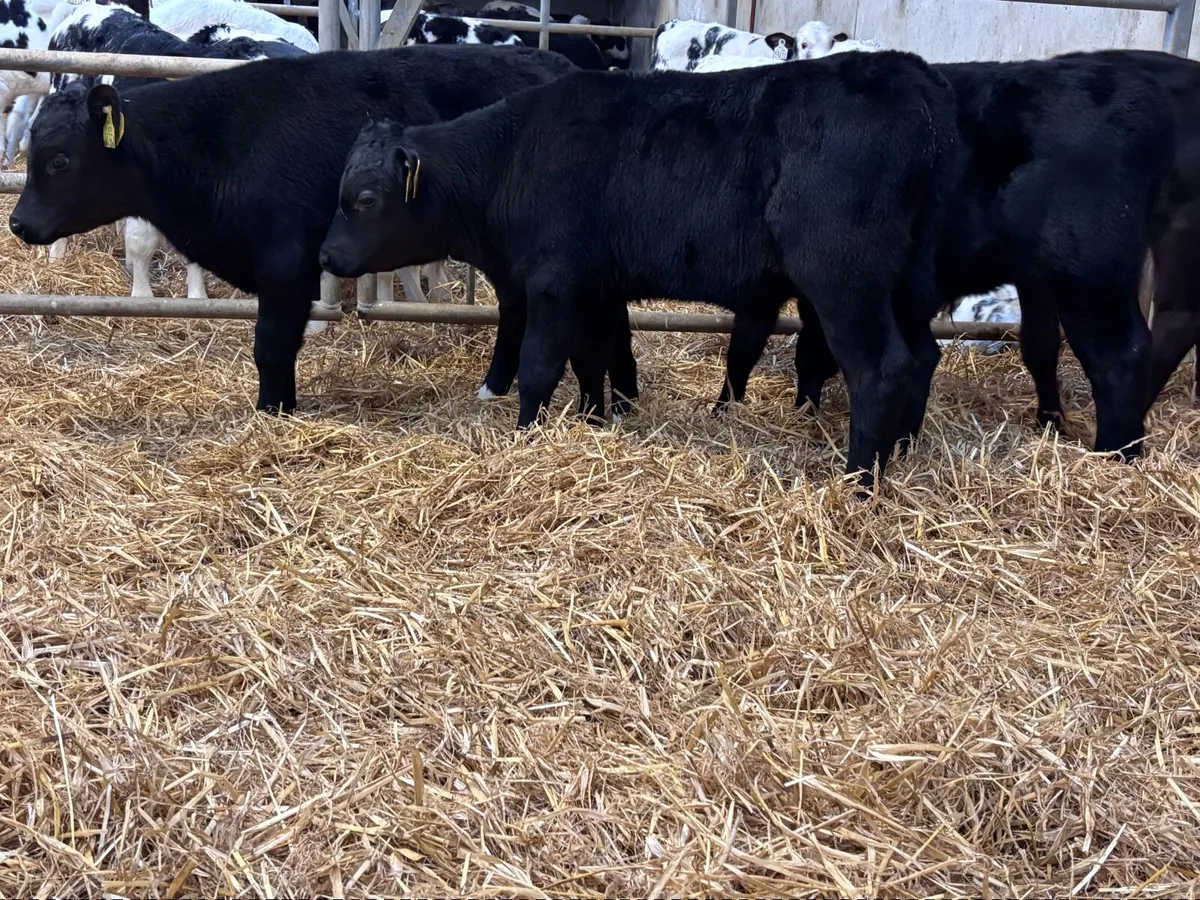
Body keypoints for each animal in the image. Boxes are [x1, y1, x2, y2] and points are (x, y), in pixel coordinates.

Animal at [8, 44, 577, 417]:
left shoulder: (286, 260)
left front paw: (272, 411)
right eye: (32, 154)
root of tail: (553, 61)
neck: (216, 144)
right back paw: (493, 387)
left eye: (59, 160)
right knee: (513, 304)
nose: (18, 222)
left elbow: (273, 342)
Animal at [317, 52, 963, 489]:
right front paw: (595, 420)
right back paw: (903, 452)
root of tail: (911, 75)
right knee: (922, 357)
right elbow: (597, 359)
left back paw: (858, 483)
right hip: (907, 286)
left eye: (367, 198)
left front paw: (526, 436)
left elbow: (539, 366)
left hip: (844, 281)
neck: (512, 155)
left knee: (881, 369)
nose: (326, 256)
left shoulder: (555, 280)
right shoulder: (596, 286)